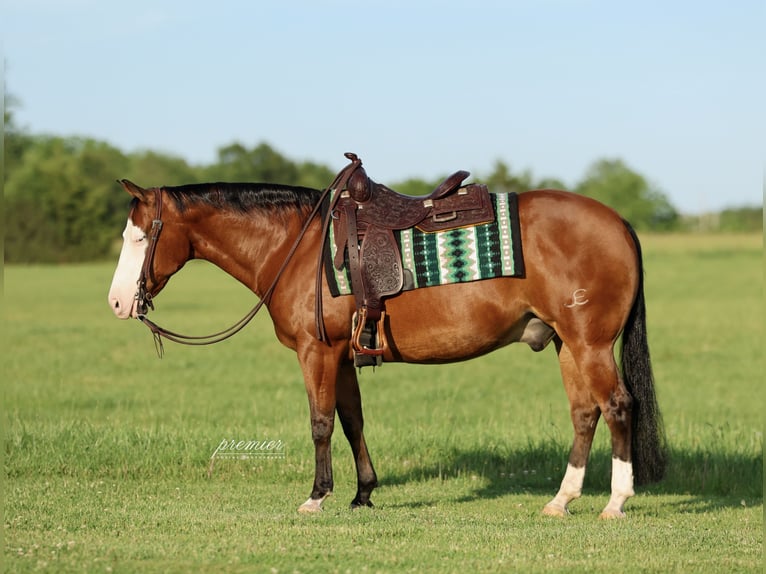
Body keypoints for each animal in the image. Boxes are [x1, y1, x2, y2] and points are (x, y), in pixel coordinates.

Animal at [107, 170, 666, 519]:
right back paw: (561, 500)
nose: (116, 304)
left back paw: (614, 503)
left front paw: (317, 497)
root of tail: (618, 222)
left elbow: (320, 422)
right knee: (585, 414)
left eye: (139, 238)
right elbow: (351, 420)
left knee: (618, 406)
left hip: (590, 343)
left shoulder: (317, 351)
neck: (296, 247)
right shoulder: (342, 354)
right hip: (566, 344)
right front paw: (363, 494)